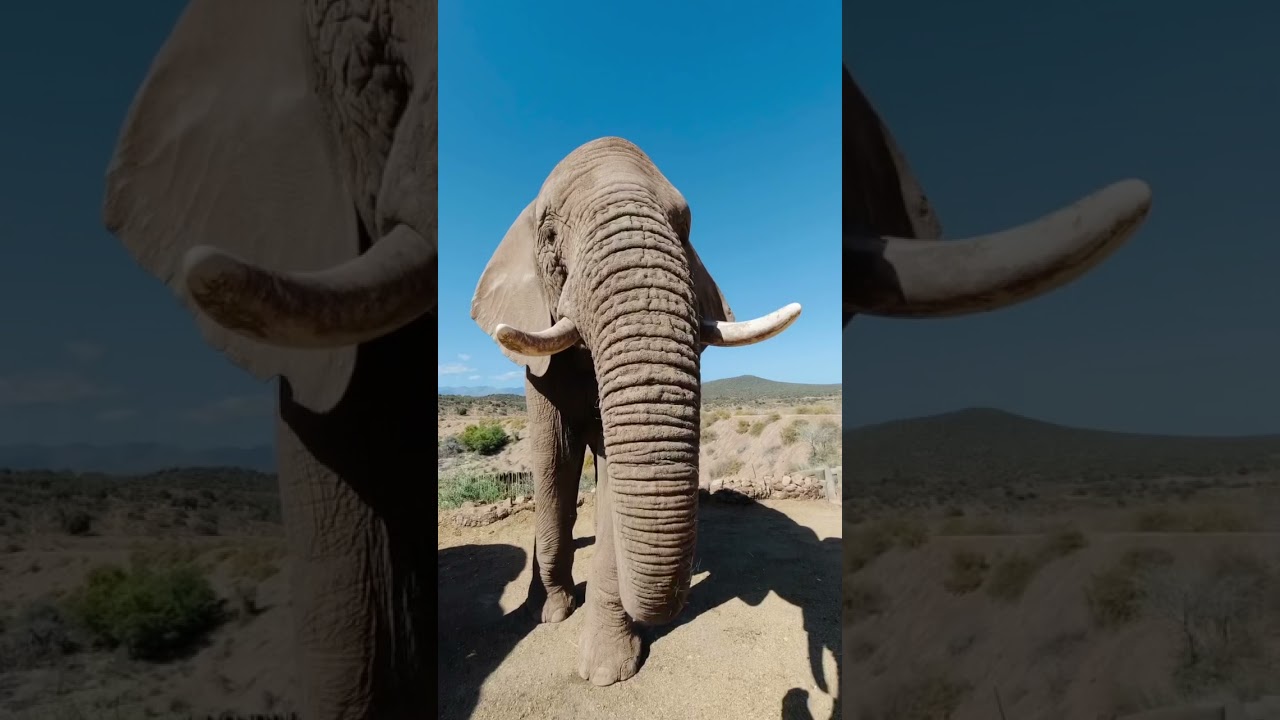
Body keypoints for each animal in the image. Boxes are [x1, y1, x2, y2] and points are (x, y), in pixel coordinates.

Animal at [470, 136, 803, 686]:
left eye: (686, 227)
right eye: (549, 235)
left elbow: (614, 487)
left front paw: (606, 672)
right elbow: (553, 463)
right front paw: (552, 613)